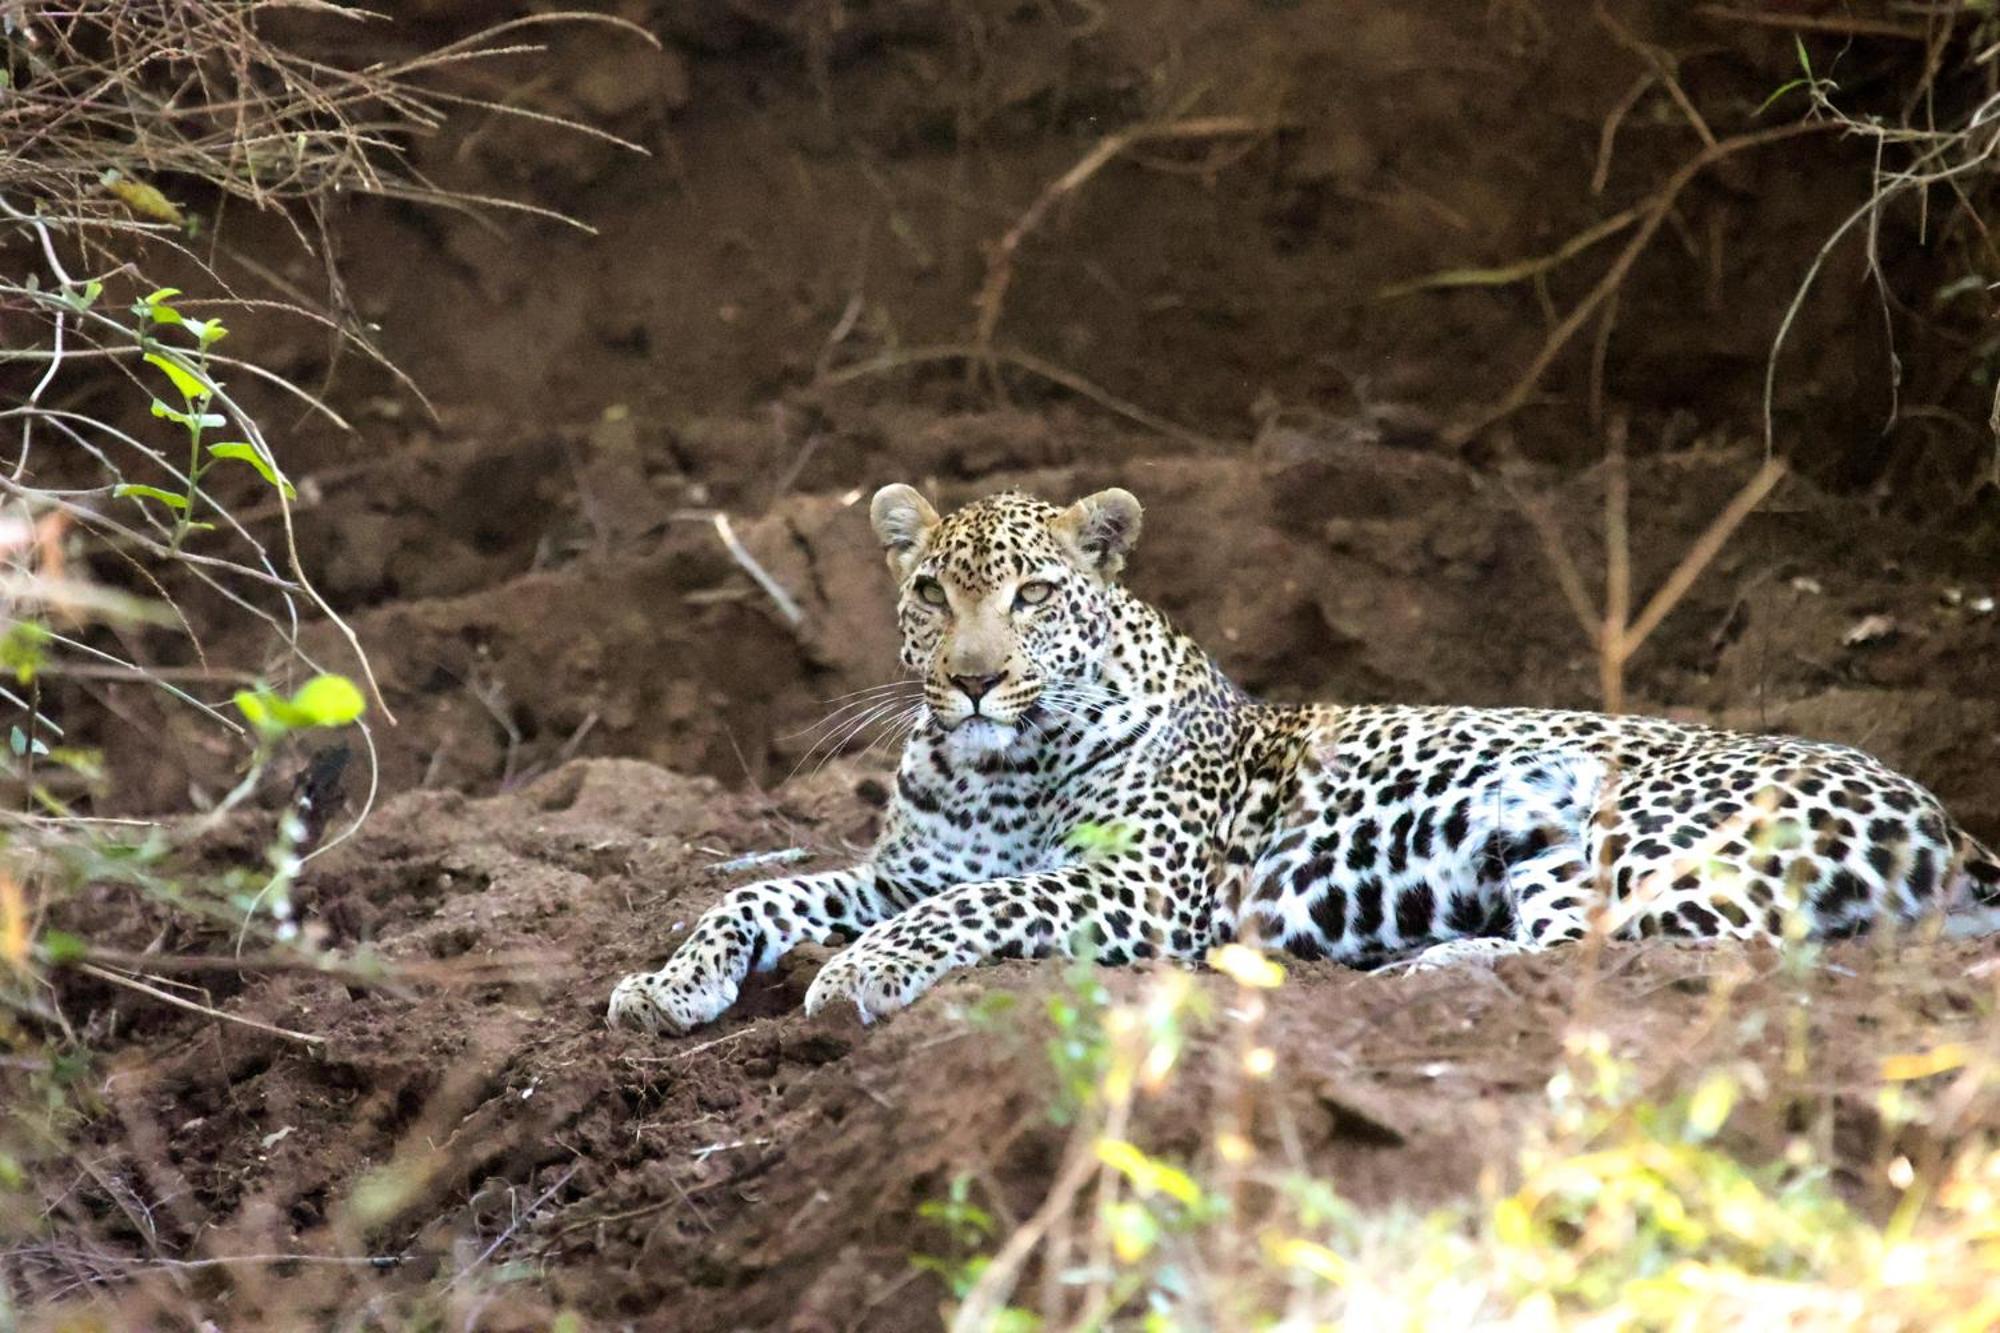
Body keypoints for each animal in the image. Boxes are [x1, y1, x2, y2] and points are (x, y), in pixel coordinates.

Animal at [604, 482, 2000, 1032]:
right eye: (932, 593)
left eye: (1037, 594)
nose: (974, 679)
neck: (992, 769)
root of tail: (1936, 806)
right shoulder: (901, 868)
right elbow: (755, 894)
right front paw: (668, 983)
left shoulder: (1129, 890)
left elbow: (972, 908)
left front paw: (857, 974)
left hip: (1612, 831)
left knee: (1641, 955)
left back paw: (1398, 970)